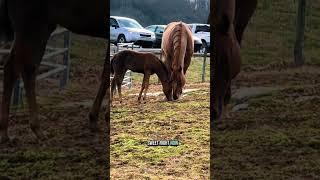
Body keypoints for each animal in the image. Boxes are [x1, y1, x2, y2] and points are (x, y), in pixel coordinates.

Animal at [0, 0, 109, 143]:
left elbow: (107, 75)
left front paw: (96, 118)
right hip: (32, 29)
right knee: (17, 69)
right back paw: (21, 130)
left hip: (40, 29)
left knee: (23, 69)